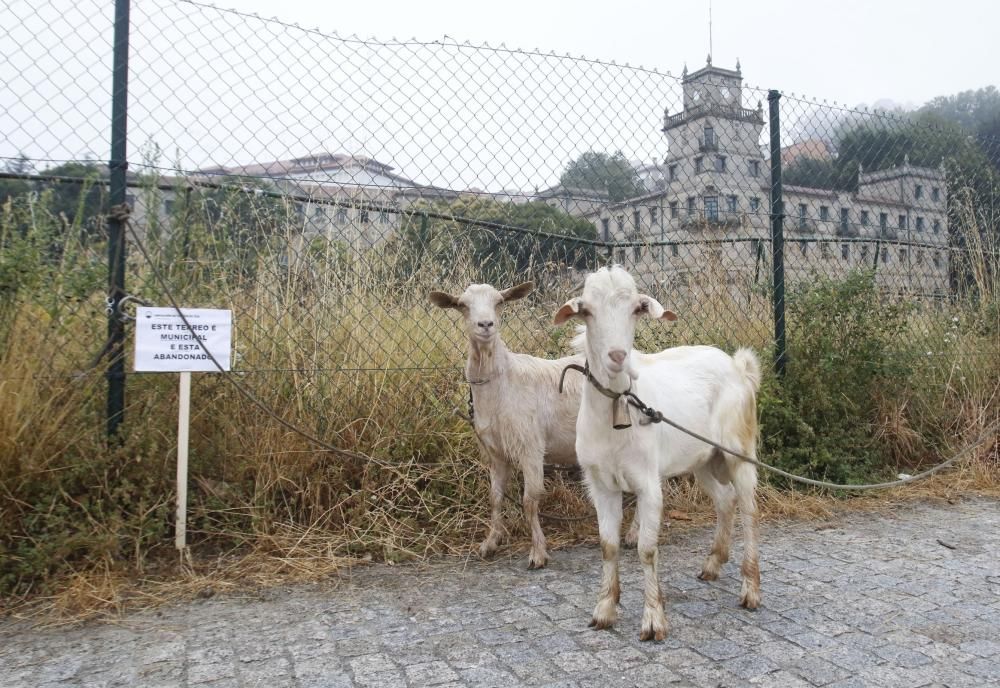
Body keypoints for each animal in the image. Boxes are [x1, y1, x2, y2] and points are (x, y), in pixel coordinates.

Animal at [432, 280, 584, 568]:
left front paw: (538, 553)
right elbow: (495, 497)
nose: (485, 324)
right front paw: (491, 543)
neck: (504, 381)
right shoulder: (496, 451)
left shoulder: (531, 447)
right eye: (462, 305)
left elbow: (530, 501)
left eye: (499, 302)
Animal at [556, 266, 756, 644]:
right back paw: (712, 564)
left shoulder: (648, 483)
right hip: (702, 458)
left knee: (749, 509)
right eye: (586, 310)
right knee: (725, 499)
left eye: (637, 308)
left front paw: (653, 621)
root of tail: (738, 366)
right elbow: (608, 545)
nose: (617, 355)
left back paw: (750, 590)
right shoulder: (600, 484)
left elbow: (646, 549)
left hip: (740, 450)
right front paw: (604, 611)